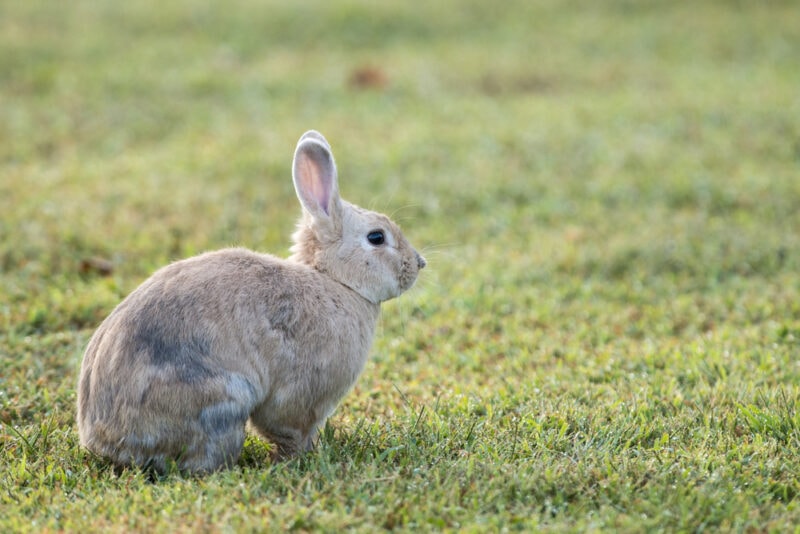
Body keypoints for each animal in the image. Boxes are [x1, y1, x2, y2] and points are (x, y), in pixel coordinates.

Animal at [76, 132, 424, 476]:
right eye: (376, 237)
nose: (419, 263)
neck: (336, 280)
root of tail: (104, 440)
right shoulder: (299, 396)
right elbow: (289, 428)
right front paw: (299, 457)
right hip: (222, 403)